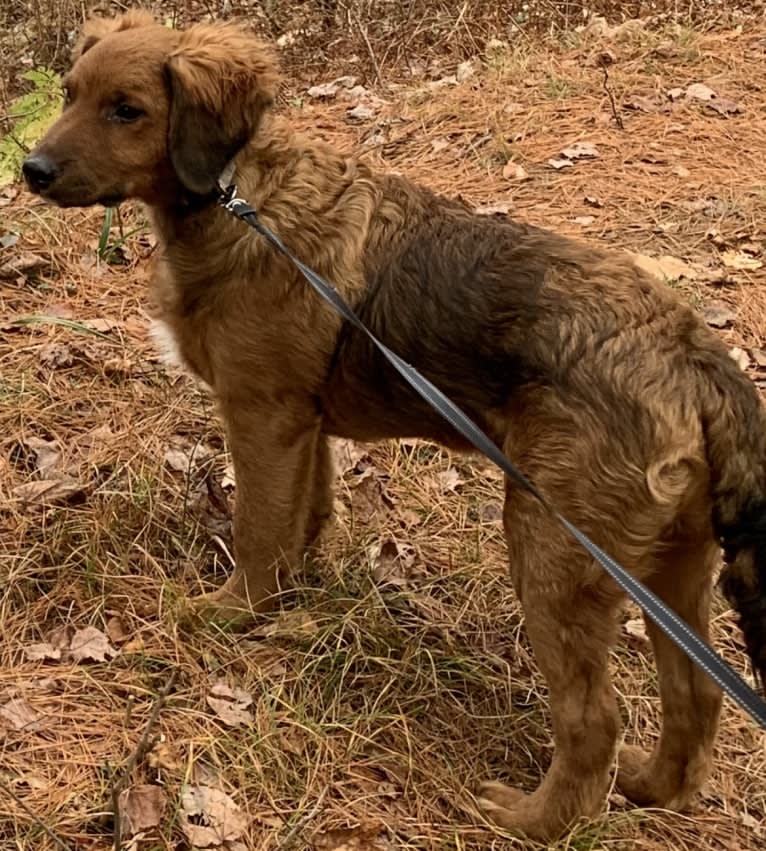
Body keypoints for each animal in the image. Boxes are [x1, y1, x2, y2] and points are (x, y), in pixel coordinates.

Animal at [24, 10, 766, 844]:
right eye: (70, 94)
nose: (31, 170)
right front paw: (288, 600)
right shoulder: (301, 424)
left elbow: (258, 527)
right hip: (673, 565)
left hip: (551, 548)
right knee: (696, 695)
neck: (238, 197)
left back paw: (531, 817)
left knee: (593, 719)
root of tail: (694, 354)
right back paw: (651, 786)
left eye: (127, 111)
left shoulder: (261, 414)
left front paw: (231, 612)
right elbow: (304, 517)